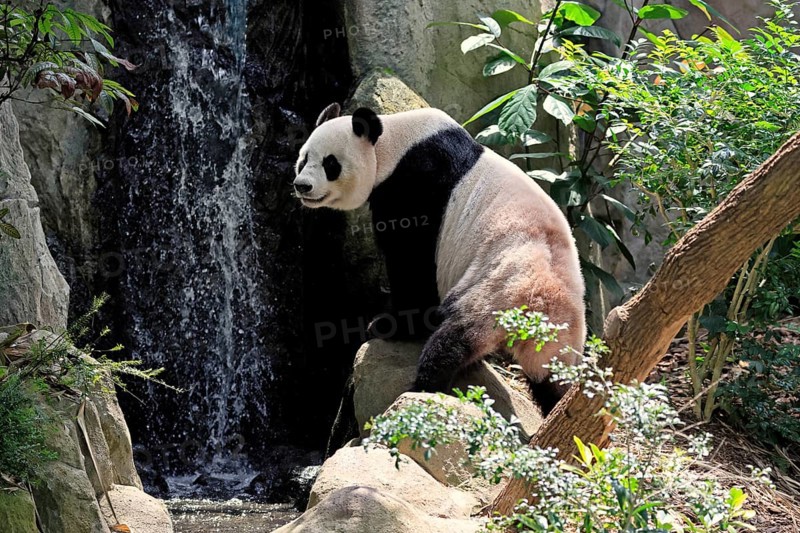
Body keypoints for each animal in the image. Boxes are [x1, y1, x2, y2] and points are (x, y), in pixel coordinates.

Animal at [294, 103, 586, 408]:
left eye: (330, 164)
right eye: (303, 160)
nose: (302, 186)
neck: (392, 145)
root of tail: (540, 309)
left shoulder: (417, 186)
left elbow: (410, 261)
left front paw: (390, 325)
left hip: (498, 287)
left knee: (455, 336)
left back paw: (425, 385)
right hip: (560, 333)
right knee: (551, 377)